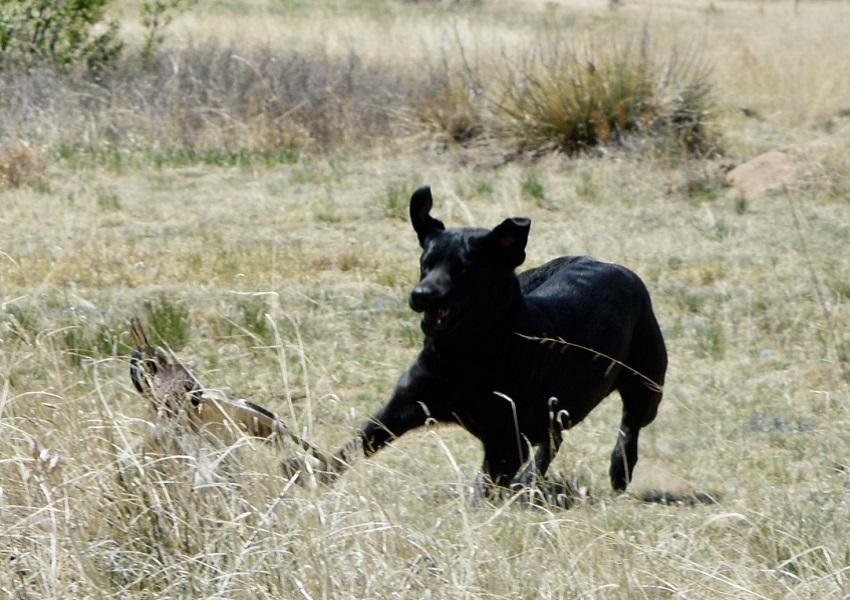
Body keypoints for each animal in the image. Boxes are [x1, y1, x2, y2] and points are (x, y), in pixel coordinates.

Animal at [302, 185, 664, 494]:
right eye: (425, 264)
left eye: (464, 270)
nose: (421, 295)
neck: (464, 353)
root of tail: (608, 264)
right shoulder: (404, 405)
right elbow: (356, 444)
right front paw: (313, 478)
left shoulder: (506, 439)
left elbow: (486, 484)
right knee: (554, 438)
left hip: (647, 382)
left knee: (630, 424)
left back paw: (619, 469)